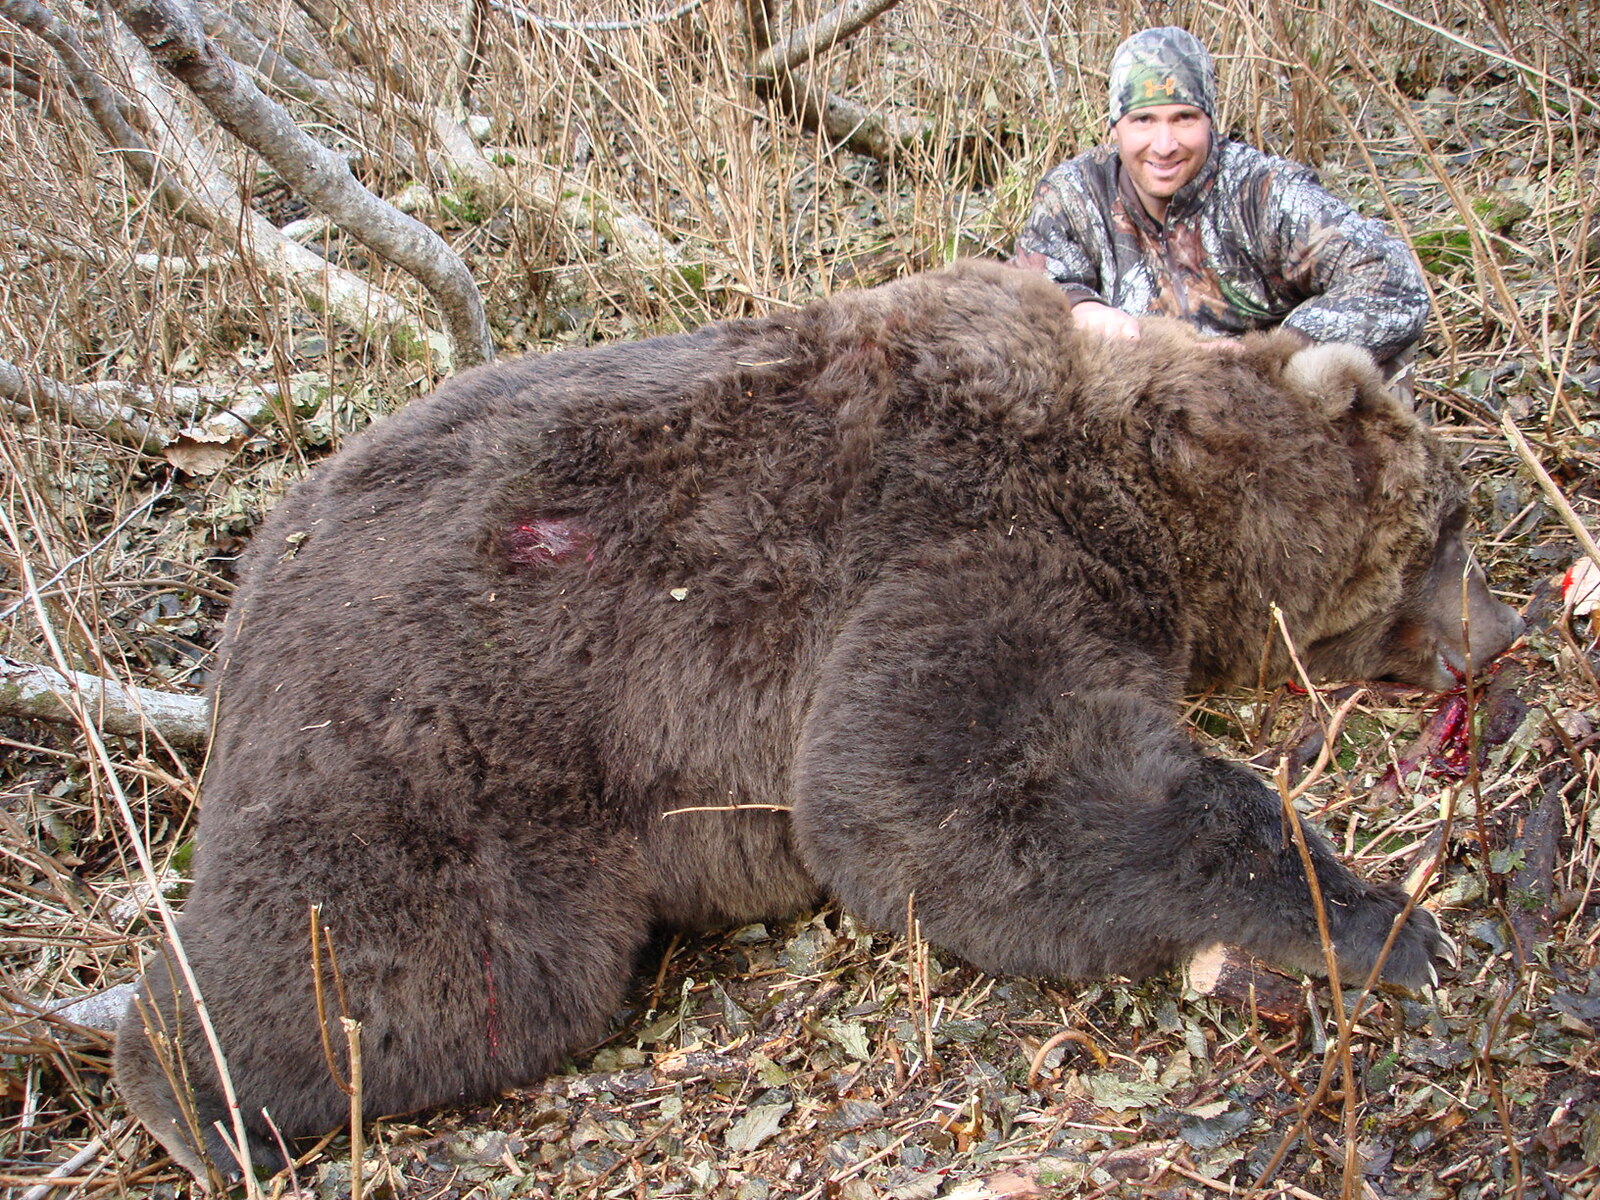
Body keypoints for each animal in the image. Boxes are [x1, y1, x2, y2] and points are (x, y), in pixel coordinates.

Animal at [115, 260, 1522, 1182]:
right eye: (1449, 525)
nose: (1505, 630)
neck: (1161, 475)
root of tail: (253, 586)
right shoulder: (964, 521)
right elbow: (923, 793)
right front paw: (1389, 919)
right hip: (434, 727)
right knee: (411, 969)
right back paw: (192, 1095)